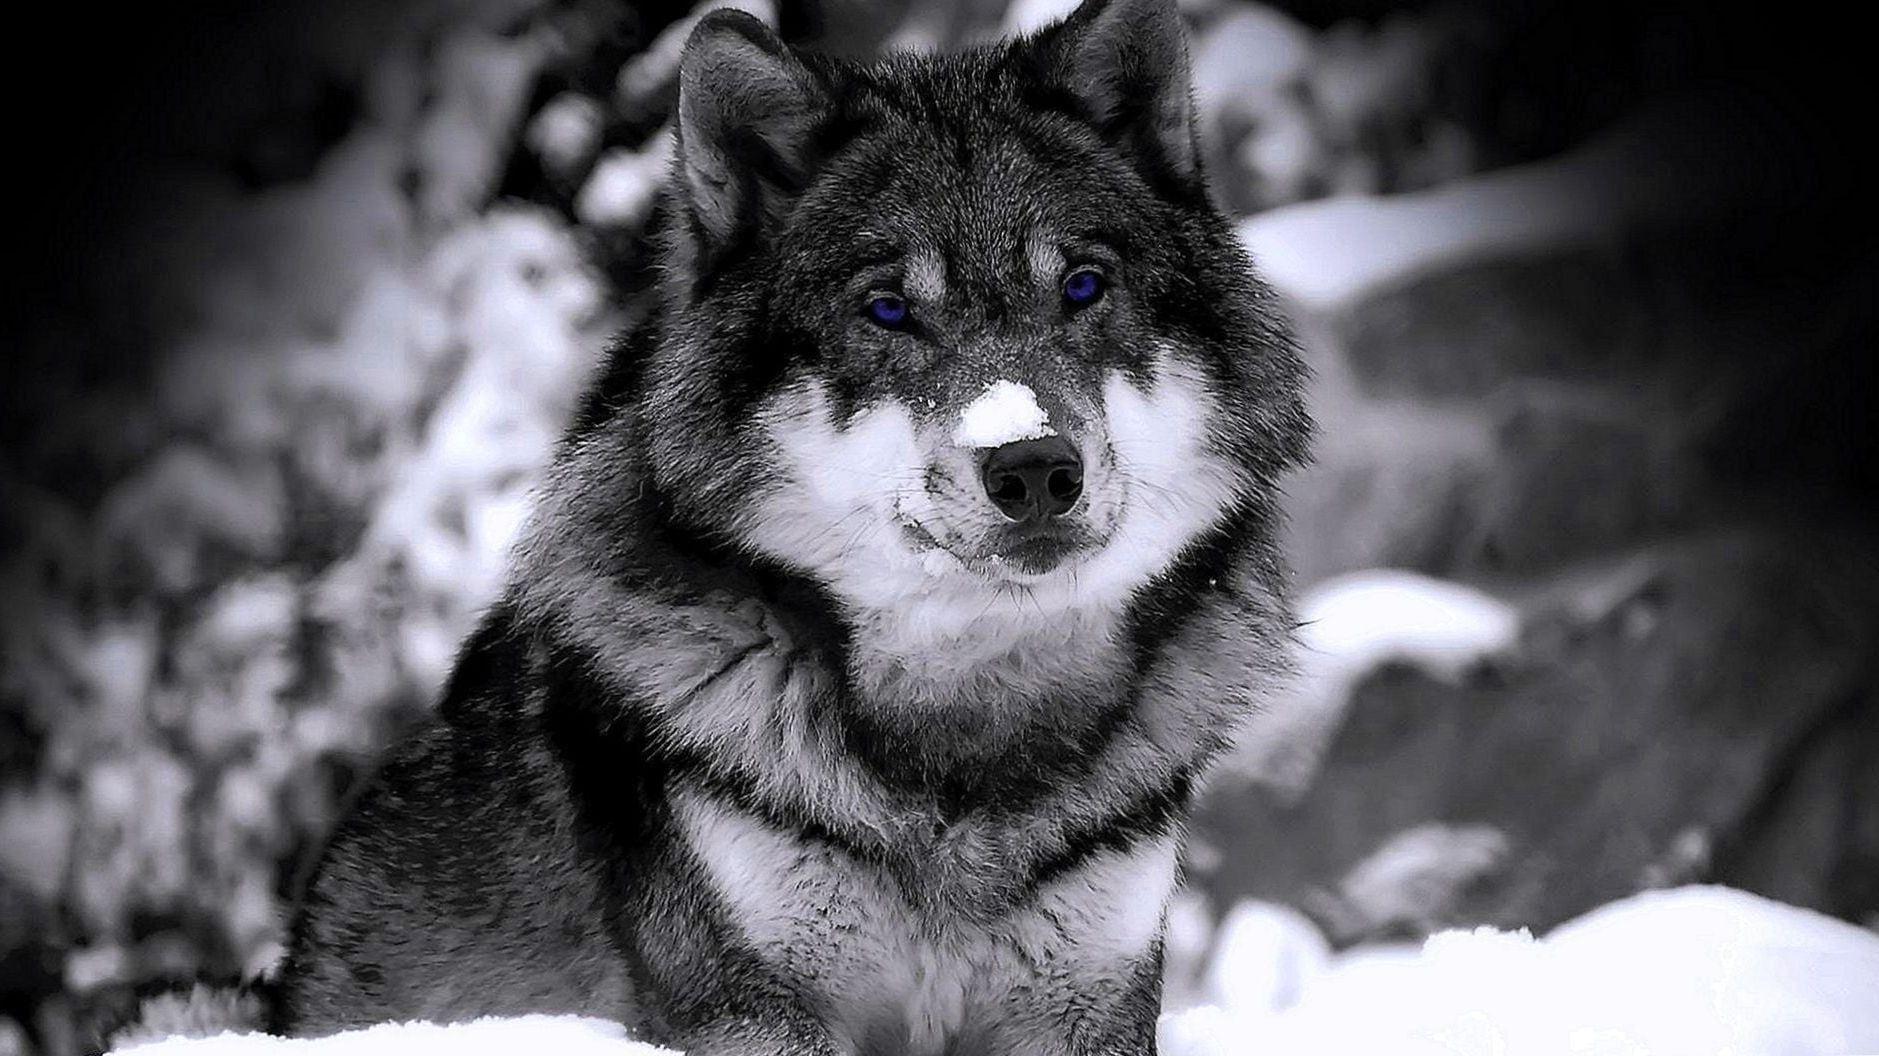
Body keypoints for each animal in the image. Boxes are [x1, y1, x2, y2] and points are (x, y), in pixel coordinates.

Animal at [268, 0, 1310, 1052]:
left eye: (1083, 288)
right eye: (888, 310)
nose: (1033, 467)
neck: (967, 733)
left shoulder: (1088, 1001)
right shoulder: (751, 1005)